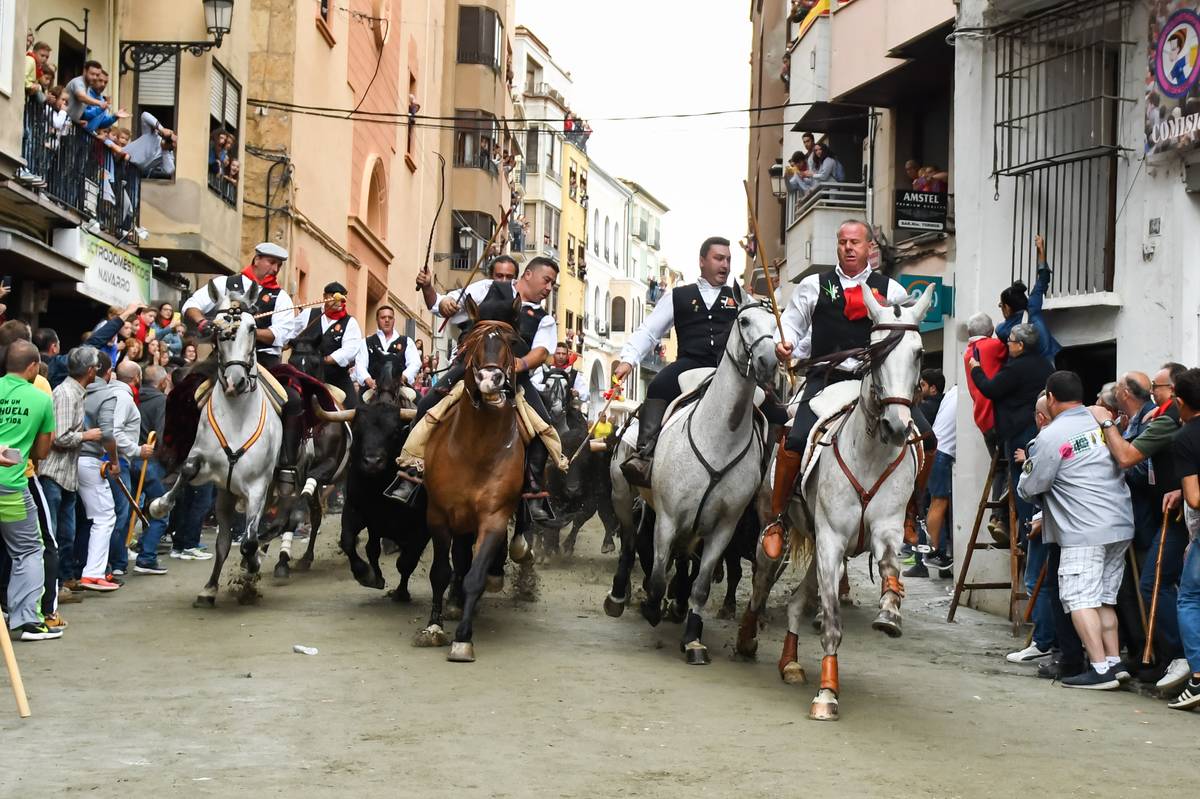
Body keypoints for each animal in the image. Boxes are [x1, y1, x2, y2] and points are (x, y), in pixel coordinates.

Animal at [147, 286, 280, 604]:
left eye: (252, 327)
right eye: (219, 331)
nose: (235, 382)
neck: (237, 417)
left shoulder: (258, 486)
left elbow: (250, 541)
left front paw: (252, 564)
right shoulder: (206, 465)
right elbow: (187, 469)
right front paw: (159, 504)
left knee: (252, 535)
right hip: (225, 495)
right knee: (223, 540)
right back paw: (209, 588)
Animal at [412, 295, 525, 662]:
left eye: (512, 342)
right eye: (472, 341)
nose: (490, 378)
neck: (476, 447)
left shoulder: (494, 517)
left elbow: (474, 575)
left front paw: (463, 637)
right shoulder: (437, 514)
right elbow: (440, 571)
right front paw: (433, 627)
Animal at [638, 295, 777, 662]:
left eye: (776, 325)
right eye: (744, 321)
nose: (769, 362)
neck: (720, 436)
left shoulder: (722, 529)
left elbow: (700, 586)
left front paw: (693, 639)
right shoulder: (668, 518)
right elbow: (657, 577)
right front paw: (652, 607)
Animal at [729, 283, 936, 719]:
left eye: (919, 353)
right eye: (876, 350)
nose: (896, 427)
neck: (870, 452)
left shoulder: (883, 529)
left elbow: (890, 565)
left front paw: (890, 612)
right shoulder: (831, 539)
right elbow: (832, 624)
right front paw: (827, 693)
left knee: (796, 602)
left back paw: (790, 662)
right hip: (780, 532)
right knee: (761, 582)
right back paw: (747, 638)